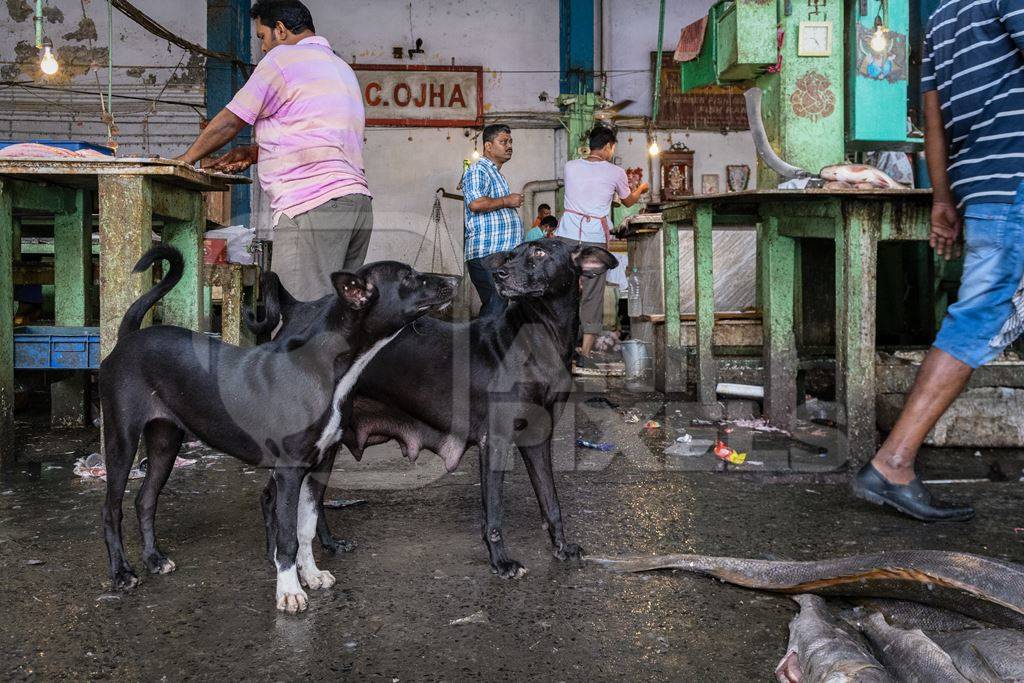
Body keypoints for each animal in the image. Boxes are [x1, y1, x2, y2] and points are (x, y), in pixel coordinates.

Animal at [96, 246, 456, 614]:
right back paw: (122, 573)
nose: (455, 280)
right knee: (112, 509)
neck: (328, 367)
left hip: (165, 441)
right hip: (122, 438)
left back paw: (154, 558)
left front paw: (311, 574)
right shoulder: (290, 471)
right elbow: (286, 538)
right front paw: (289, 590)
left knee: (145, 500)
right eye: (408, 277)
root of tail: (127, 339)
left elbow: (306, 528)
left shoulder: (319, 466)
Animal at [249, 239, 614, 577]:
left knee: (312, 501)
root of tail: (297, 309)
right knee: (272, 497)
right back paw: (275, 555)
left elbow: (551, 501)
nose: (500, 274)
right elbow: (494, 513)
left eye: (539, 253)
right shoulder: (494, 442)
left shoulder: (538, 440)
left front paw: (561, 546)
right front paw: (501, 562)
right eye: (511, 255)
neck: (539, 339)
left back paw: (328, 544)